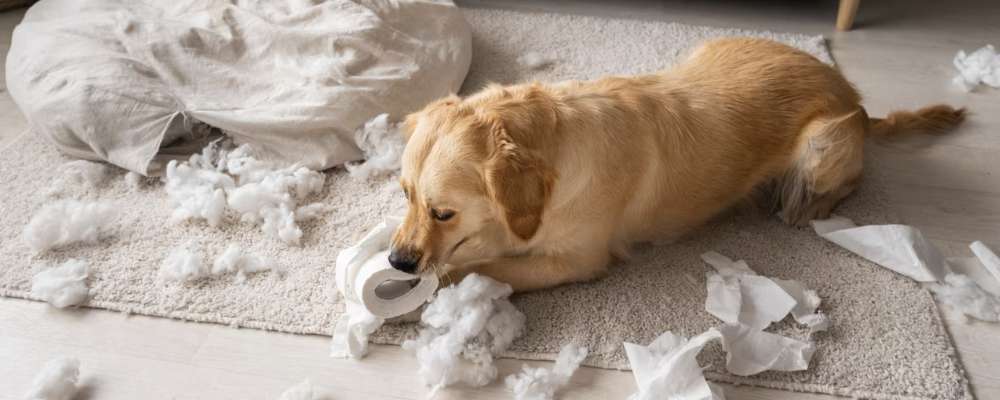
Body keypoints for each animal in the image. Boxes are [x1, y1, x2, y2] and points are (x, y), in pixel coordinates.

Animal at [386, 37, 964, 292]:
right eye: (405, 195)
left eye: (444, 212)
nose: (397, 261)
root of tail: (853, 95)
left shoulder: (578, 260)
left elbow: (487, 265)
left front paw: (446, 277)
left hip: (823, 146)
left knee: (842, 183)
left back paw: (803, 204)